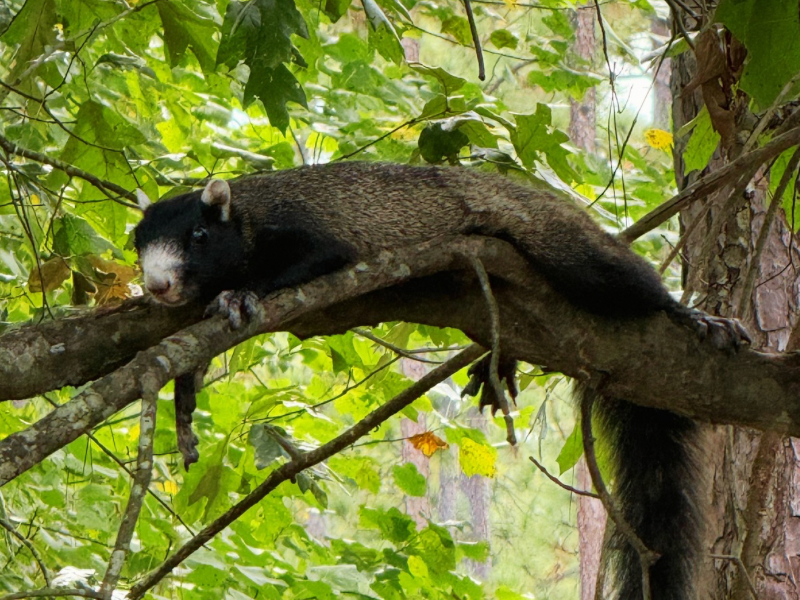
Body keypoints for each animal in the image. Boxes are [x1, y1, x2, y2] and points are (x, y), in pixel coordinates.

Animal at [134, 161, 749, 600]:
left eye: (197, 235)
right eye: (138, 243)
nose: (158, 286)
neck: (250, 216)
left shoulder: (317, 234)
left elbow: (308, 261)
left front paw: (239, 294)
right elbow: (191, 368)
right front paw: (184, 405)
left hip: (569, 248)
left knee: (633, 284)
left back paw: (694, 317)